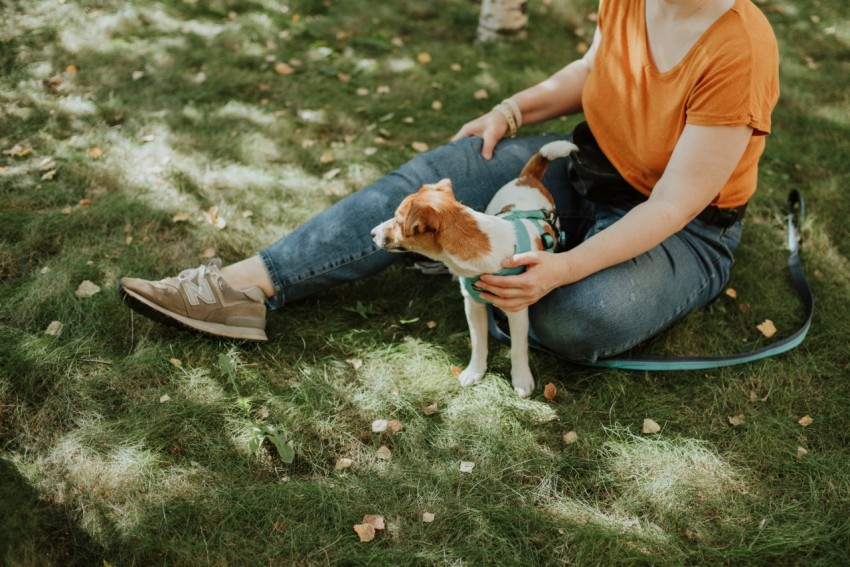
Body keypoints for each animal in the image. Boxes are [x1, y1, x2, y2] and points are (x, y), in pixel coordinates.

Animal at [372, 141, 576, 398]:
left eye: (399, 222)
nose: (372, 234)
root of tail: (527, 178)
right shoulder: (473, 304)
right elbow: (479, 342)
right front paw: (475, 371)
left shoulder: (517, 308)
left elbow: (518, 347)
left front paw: (521, 378)